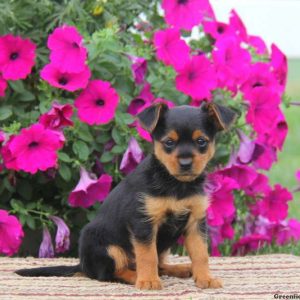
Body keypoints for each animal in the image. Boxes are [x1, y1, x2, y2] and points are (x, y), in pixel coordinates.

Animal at [15, 102, 237, 290]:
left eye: (201, 141)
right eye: (168, 142)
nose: (185, 163)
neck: (176, 185)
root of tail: (83, 264)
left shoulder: (195, 222)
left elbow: (201, 254)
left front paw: (205, 278)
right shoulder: (143, 223)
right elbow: (147, 256)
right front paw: (148, 281)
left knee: (159, 264)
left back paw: (180, 269)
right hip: (107, 246)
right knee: (110, 272)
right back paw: (136, 275)